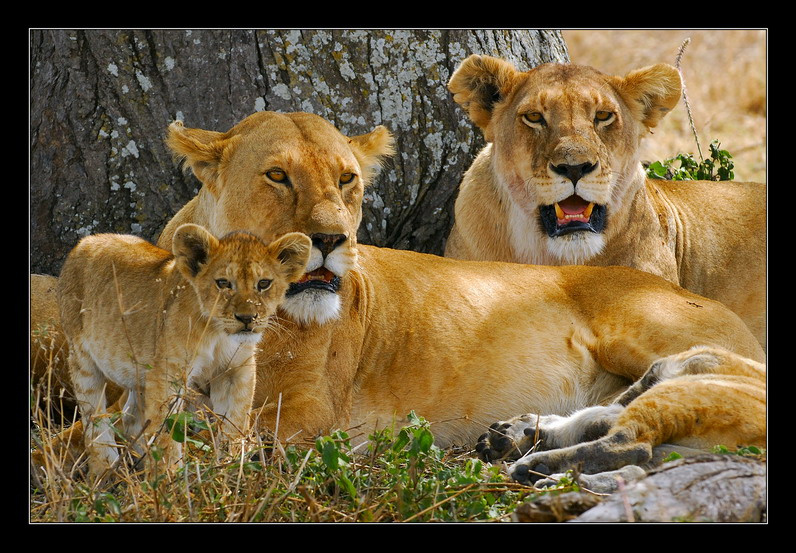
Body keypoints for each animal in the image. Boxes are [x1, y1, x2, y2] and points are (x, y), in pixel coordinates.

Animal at [57, 224, 311, 478]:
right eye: (223, 283)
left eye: (264, 283)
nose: (247, 319)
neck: (218, 334)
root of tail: (86, 241)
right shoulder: (168, 374)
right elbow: (166, 431)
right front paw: (169, 477)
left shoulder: (235, 370)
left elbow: (235, 421)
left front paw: (230, 467)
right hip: (82, 360)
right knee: (94, 417)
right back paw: (106, 470)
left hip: (140, 374)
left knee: (131, 417)